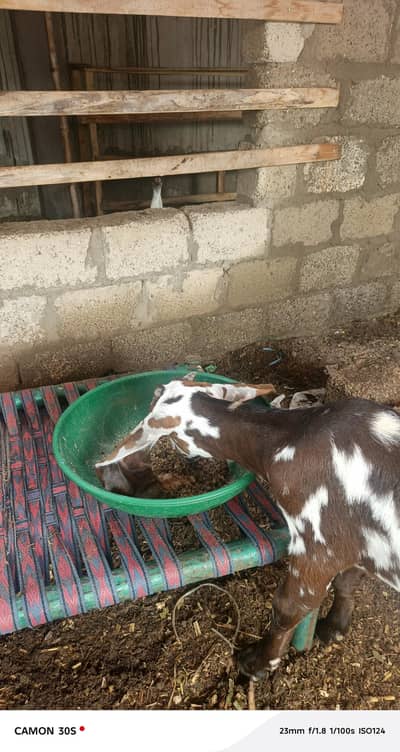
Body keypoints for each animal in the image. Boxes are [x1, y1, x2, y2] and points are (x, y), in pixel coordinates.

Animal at [96, 376, 400, 679]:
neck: (286, 439)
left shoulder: (318, 546)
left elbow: (288, 607)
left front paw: (258, 663)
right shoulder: (359, 544)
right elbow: (347, 580)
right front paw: (334, 627)